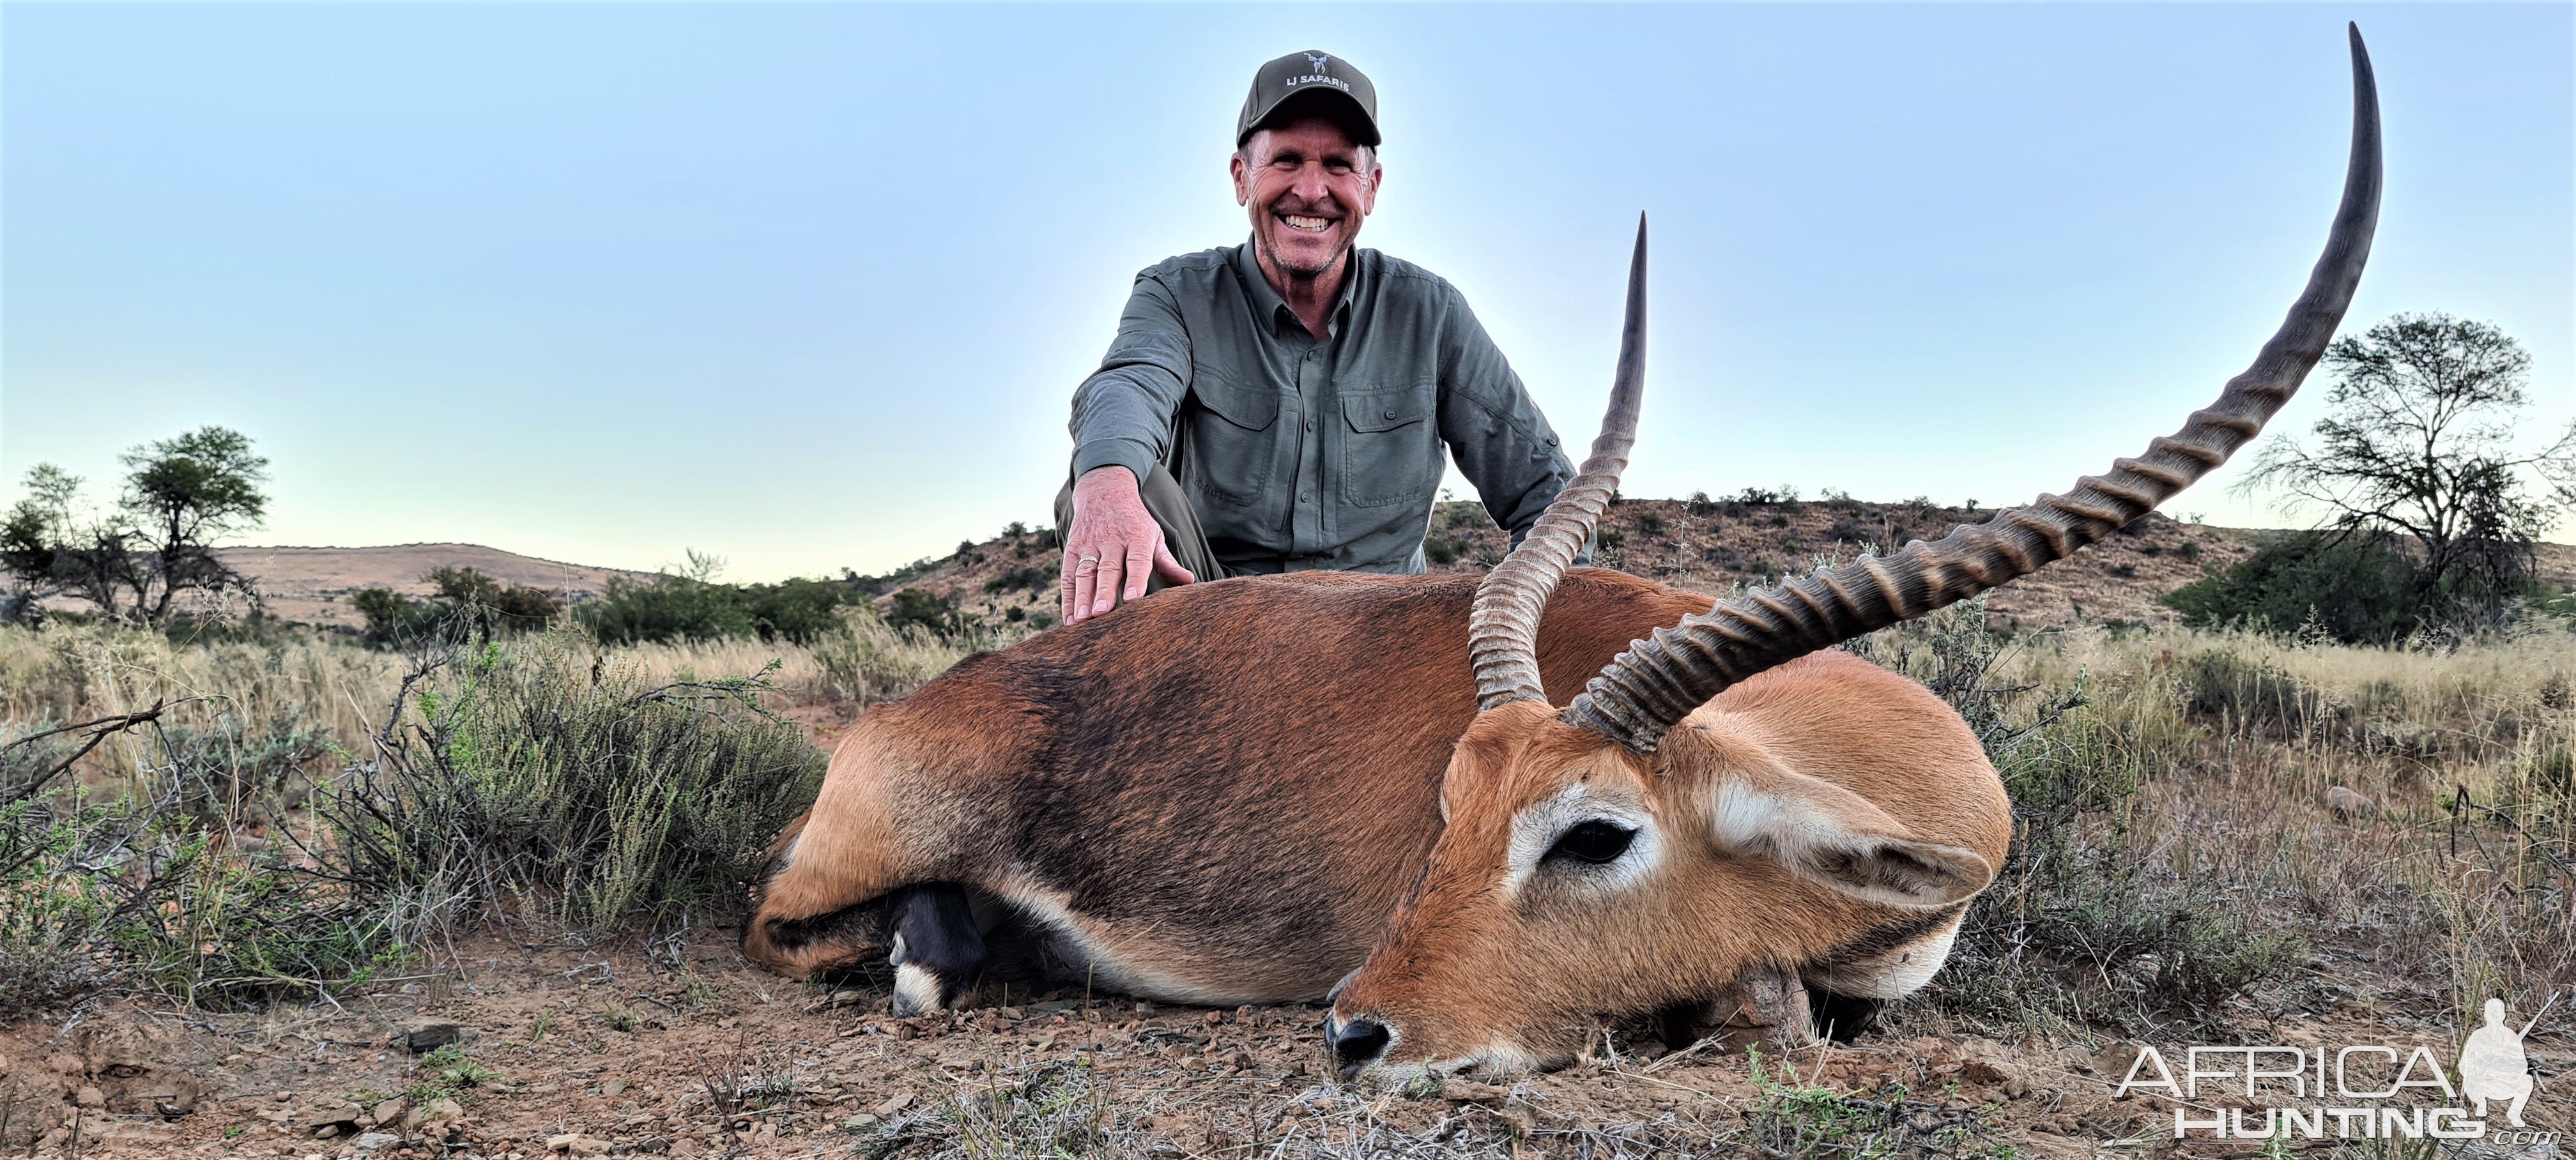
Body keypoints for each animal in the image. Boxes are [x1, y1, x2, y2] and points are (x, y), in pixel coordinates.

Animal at [752, 27, 2380, 1062]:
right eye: (1450, 812)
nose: (1356, 1025)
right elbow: (1759, 1002)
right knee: (810, 930)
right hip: (828, 889)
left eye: (1592, 831)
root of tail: (906, 711)